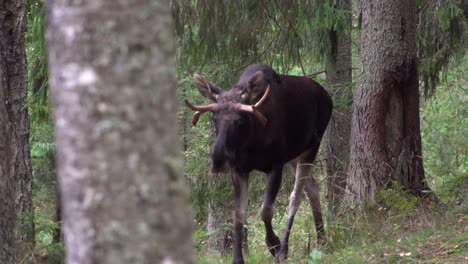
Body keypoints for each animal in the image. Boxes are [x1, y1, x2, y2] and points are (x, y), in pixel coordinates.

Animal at [185, 64, 334, 264]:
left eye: (239, 120)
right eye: (214, 119)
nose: (218, 160)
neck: (252, 141)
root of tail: (327, 96)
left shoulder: (276, 165)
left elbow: (266, 211)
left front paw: (274, 245)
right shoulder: (238, 169)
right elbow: (238, 215)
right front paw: (237, 258)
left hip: (311, 147)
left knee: (296, 196)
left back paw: (286, 248)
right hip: (295, 156)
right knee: (312, 189)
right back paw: (321, 239)